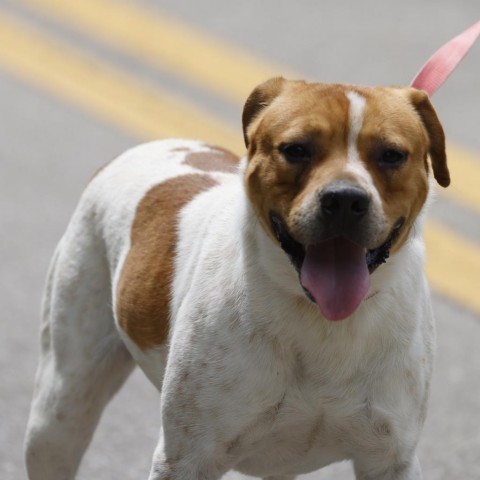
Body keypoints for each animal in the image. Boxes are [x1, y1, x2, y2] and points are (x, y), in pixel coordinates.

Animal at [23, 77, 450, 478]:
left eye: (391, 155)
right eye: (296, 149)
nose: (345, 199)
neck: (321, 322)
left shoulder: (391, 460)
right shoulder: (186, 459)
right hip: (59, 411)